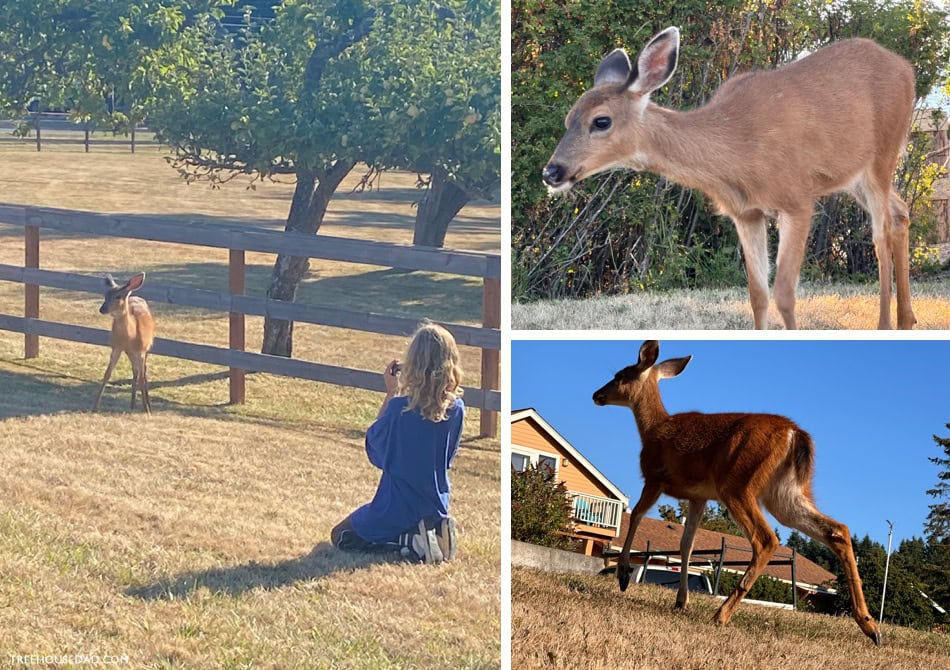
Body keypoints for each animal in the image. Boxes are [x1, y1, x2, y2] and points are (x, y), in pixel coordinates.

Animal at [92, 273, 155, 414]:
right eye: (105, 295)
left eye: (118, 296)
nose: (102, 309)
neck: (130, 337)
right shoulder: (116, 347)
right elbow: (107, 374)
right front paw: (94, 407)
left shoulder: (141, 350)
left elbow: (142, 378)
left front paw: (146, 410)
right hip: (129, 353)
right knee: (135, 372)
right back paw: (132, 405)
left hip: (147, 348)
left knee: (143, 372)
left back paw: (146, 405)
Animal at [543, 27, 916, 330]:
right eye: (568, 118)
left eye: (601, 121)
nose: (551, 171)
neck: (736, 153)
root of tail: (906, 67)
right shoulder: (746, 213)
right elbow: (758, 294)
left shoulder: (797, 199)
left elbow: (784, 294)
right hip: (853, 177)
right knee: (900, 211)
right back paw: (907, 318)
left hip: (883, 154)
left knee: (880, 233)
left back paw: (886, 324)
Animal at [592, 340, 881, 645]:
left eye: (620, 375)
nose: (596, 395)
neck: (652, 430)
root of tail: (795, 434)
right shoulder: (698, 496)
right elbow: (686, 545)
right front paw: (681, 601)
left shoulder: (655, 478)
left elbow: (635, 514)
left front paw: (624, 574)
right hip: (785, 494)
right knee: (838, 529)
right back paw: (870, 626)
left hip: (738, 484)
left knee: (766, 540)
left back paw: (722, 614)